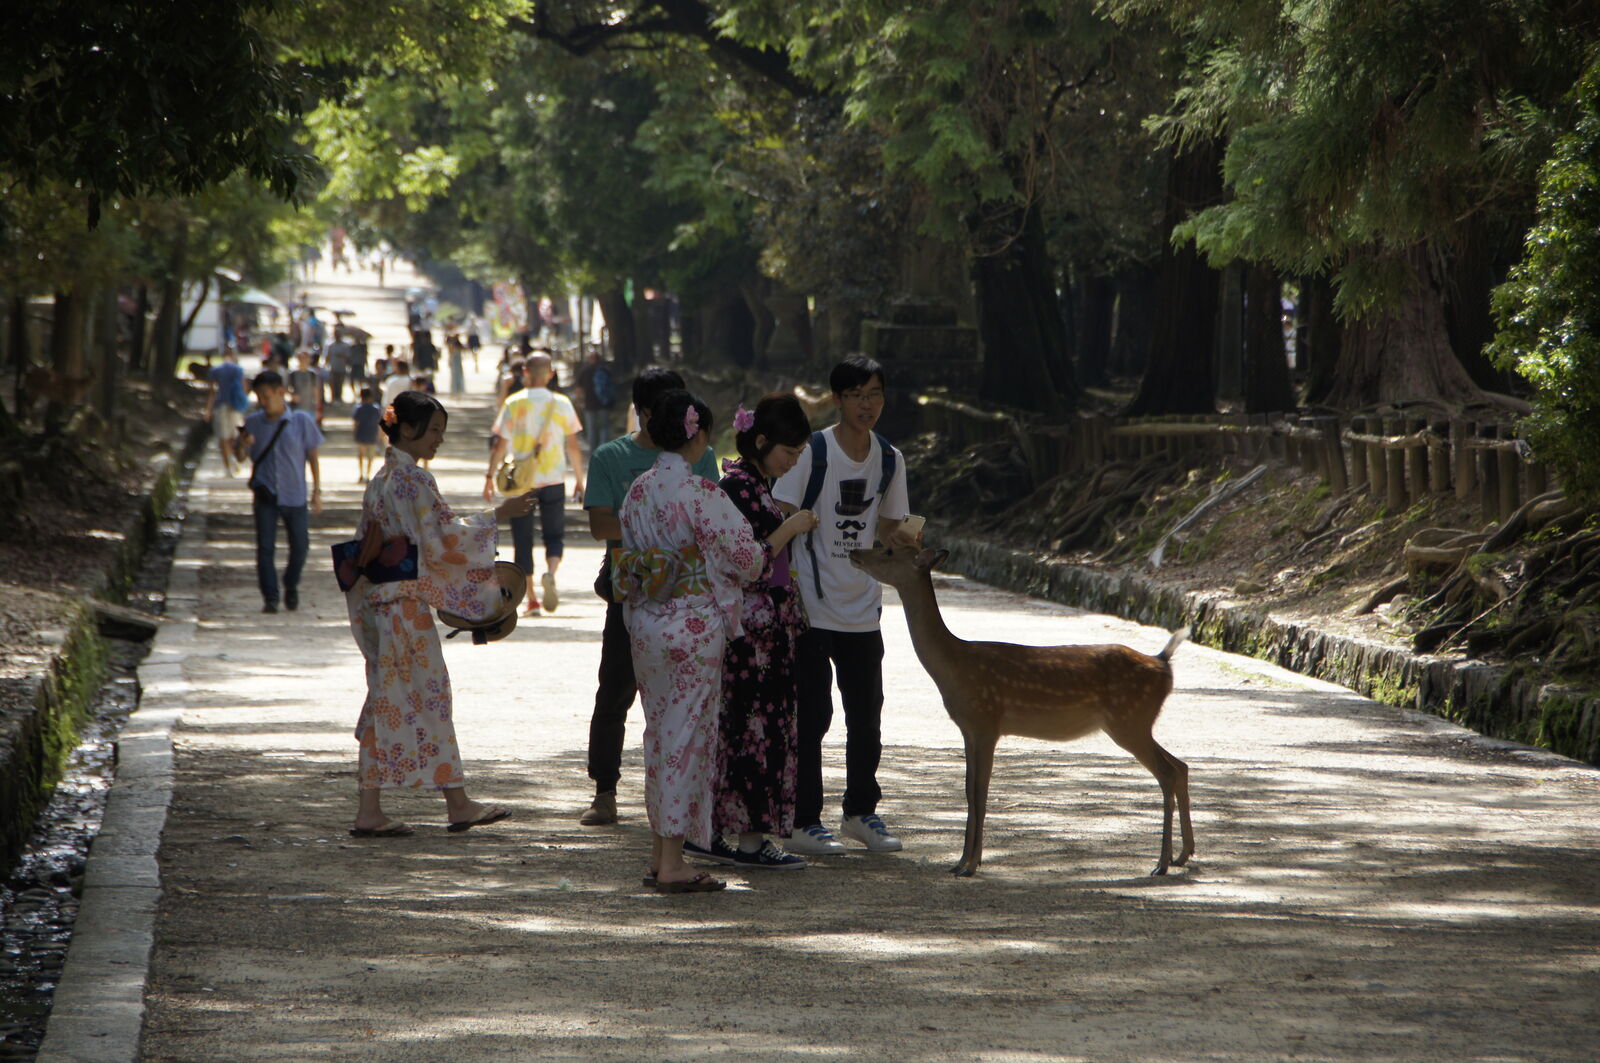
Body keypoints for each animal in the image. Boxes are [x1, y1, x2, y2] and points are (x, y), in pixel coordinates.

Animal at [849, 545, 1194, 877]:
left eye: (889, 551)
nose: (855, 553)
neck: (955, 666)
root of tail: (1163, 662)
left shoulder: (987, 721)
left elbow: (980, 792)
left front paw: (970, 865)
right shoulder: (969, 728)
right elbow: (969, 791)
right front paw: (961, 862)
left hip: (1128, 719)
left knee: (1167, 772)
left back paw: (1161, 863)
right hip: (1135, 722)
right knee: (1180, 766)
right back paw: (1182, 855)